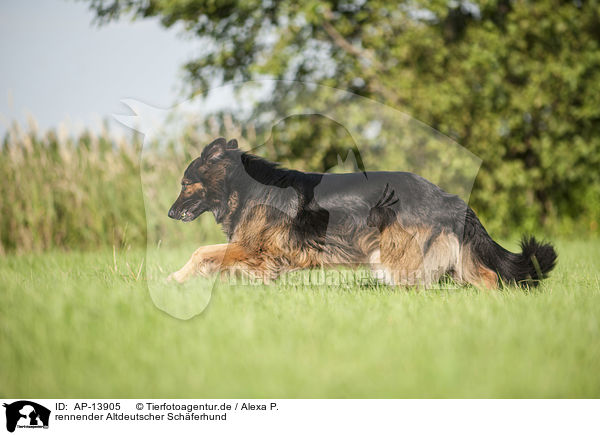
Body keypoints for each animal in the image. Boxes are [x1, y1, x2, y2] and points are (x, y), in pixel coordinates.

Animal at [166, 139, 556, 290]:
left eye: (185, 184)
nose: (170, 213)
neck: (244, 186)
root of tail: (449, 197)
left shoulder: (254, 247)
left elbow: (201, 252)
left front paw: (173, 279)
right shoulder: (257, 252)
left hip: (396, 254)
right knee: (486, 277)